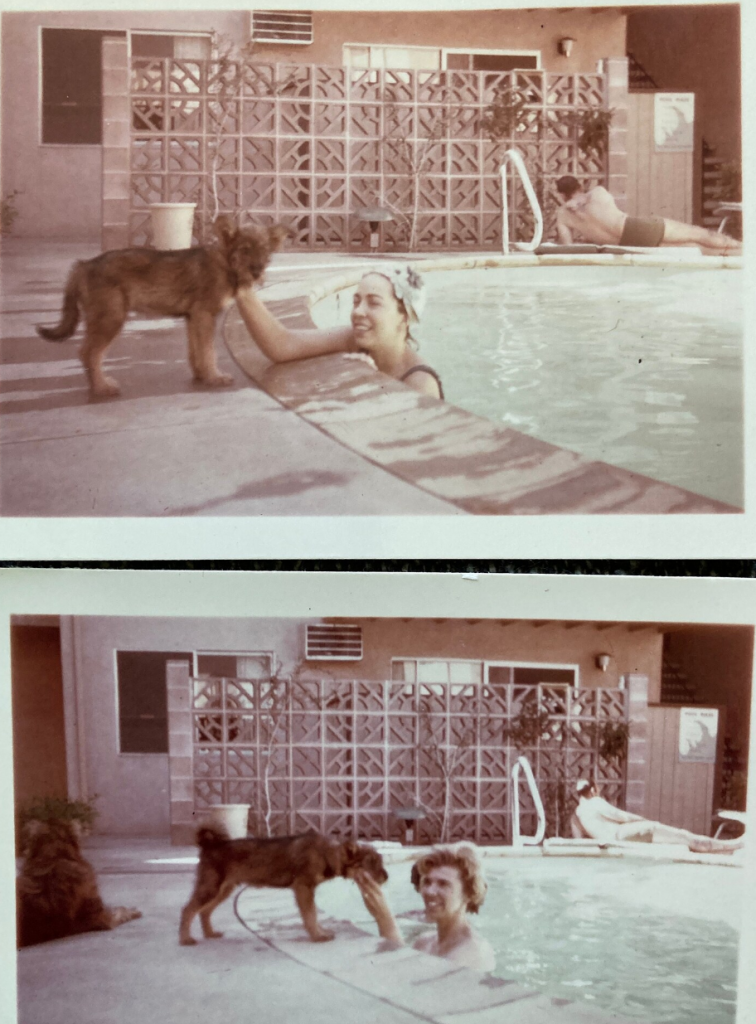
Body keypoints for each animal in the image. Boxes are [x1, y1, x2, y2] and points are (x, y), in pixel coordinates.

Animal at [37, 218, 288, 397]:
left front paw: (201, 375)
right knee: (89, 353)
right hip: (111, 318)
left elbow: (196, 351)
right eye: (245, 249)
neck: (226, 263)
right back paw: (101, 388)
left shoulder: (193, 318)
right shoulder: (205, 315)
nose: (256, 272)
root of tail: (83, 265)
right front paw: (215, 377)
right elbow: (209, 351)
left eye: (265, 251)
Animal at [179, 823, 385, 942]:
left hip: (223, 889)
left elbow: (313, 915)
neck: (327, 853)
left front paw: (321, 931)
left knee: (204, 911)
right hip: (211, 888)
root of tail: (210, 844)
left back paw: (209, 934)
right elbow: (310, 915)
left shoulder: (307, 890)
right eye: (372, 863)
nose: (386, 877)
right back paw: (185, 939)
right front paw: (318, 935)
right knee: (188, 910)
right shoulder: (303, 889)